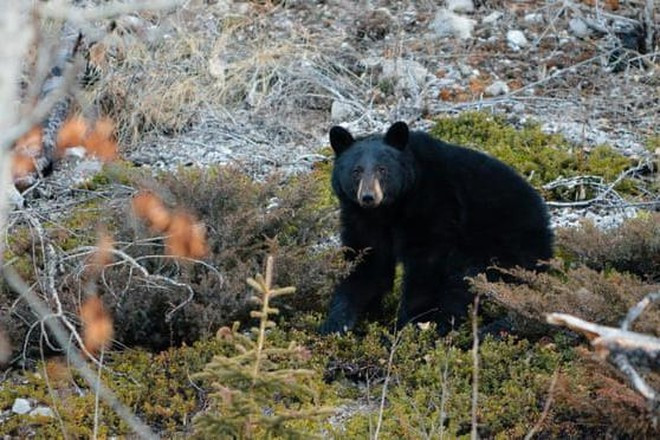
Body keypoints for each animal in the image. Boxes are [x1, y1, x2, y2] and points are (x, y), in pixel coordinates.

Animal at [320, 120, 552, 334]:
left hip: (502, 250)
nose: (368, 197)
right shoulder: (362, 218)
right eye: (356, 171)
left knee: (465, 282)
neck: (390, 209)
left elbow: (426, 264)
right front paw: (336, 322)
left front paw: (409, 323)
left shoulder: (434, 205)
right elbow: (367, 262)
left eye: (382, 169)